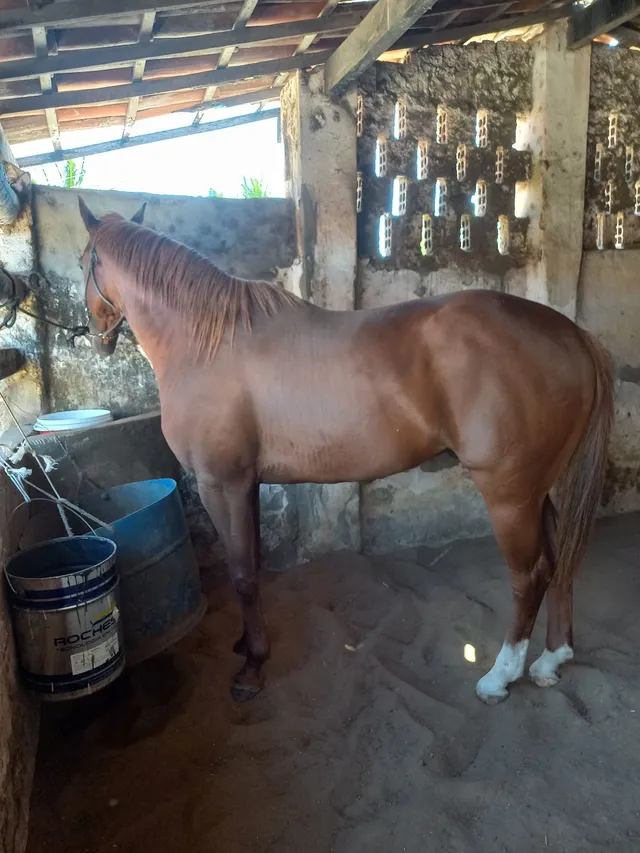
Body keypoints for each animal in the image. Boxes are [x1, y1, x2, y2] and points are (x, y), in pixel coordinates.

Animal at [77, 197, 614, 705]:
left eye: (84, 260)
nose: (94, 339)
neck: (207, 343)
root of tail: (573, 335)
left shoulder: (221, 483)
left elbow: (242, 574)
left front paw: (252, 668)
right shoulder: (246, 484)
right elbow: (251, 565)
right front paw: (246, 646)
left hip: (509, 494)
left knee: (530, 575)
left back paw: (501, 675)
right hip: (540, 490)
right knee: (560, 560)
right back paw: (552, 658)